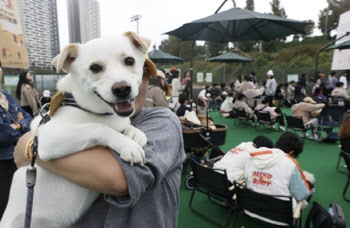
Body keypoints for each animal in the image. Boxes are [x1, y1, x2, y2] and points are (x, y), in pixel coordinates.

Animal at [0, 31, 152, 227]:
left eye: (129, 60)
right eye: (95, 67)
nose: (122, 88)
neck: (96, 111)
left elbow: (127, 126)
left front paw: (135, 133)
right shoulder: (49, 138)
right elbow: (98, 127)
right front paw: (128, 145)